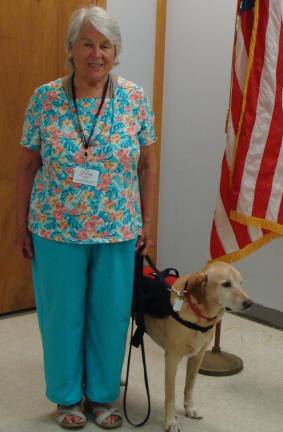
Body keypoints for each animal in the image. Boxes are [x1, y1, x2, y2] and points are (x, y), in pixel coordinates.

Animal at [145, 260, 254, 432]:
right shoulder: (172, 359)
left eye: (241, 283)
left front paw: (189, 409)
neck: (199, 315)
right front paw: (170, 421)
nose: (249, 303)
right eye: (226, 284)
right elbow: (170, 395)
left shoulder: (198, 356)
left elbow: (189, 387)